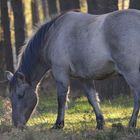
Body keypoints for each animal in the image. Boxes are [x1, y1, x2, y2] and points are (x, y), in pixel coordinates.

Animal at [6, 9, 140, 129]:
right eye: (10, 97)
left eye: (21, 95)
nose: (16, 125)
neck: (53, 34)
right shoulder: (84, 77)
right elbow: (92, 98)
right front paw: (100, 123)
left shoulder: (61, 74)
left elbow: (61, 99)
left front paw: (58, 124)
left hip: (131, 73)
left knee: (137, 95)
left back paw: (131, 124)